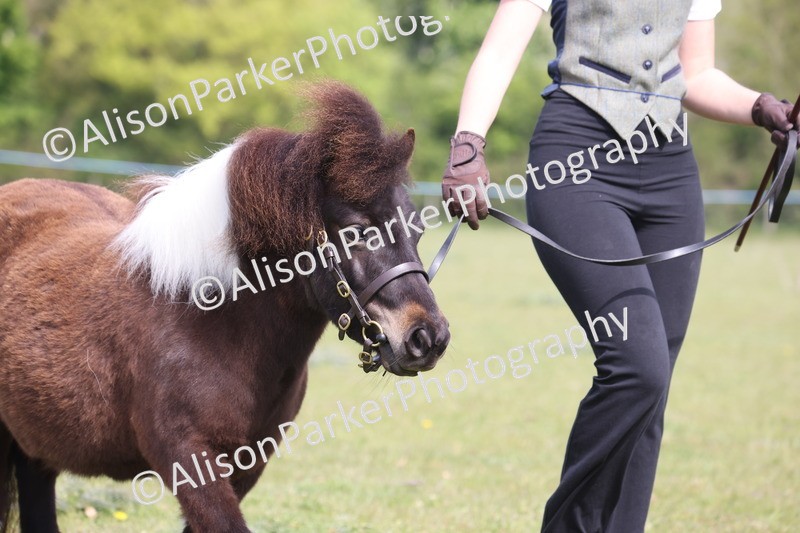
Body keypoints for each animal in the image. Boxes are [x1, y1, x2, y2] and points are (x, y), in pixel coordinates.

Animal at [0, 81, 450, 532]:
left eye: (417, 228)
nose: (427, 337)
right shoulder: (189, 461)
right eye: (357, 231)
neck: (209, 320)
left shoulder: (247, 462)